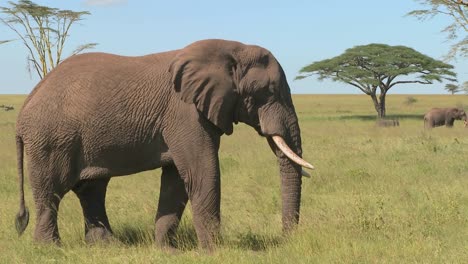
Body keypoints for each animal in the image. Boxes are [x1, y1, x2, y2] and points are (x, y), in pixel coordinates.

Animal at [14, 38, 314, 250]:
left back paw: (107, 246)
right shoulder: (184, 113)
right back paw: (51, 249)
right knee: (52, 192)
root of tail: (26, 105)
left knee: (92, 189)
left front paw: (166, 250)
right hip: (50, 140)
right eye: (269, 91)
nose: (286, 239)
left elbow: (176, 179)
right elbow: (202, 172)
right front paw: (216, 252)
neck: (230, 49)